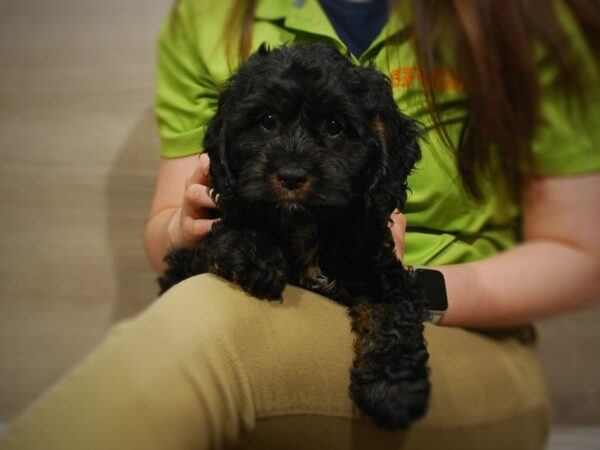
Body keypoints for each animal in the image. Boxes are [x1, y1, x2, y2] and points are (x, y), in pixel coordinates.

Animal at [159, 44, 428, 428]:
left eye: (335, 126)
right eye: (267, 121)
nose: (291, 175)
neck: (307, 224)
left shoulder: (380, 271)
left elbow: (393, 314)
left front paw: (393, 390)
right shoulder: (201, 246)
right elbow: (227, 237)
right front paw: (257, 257)